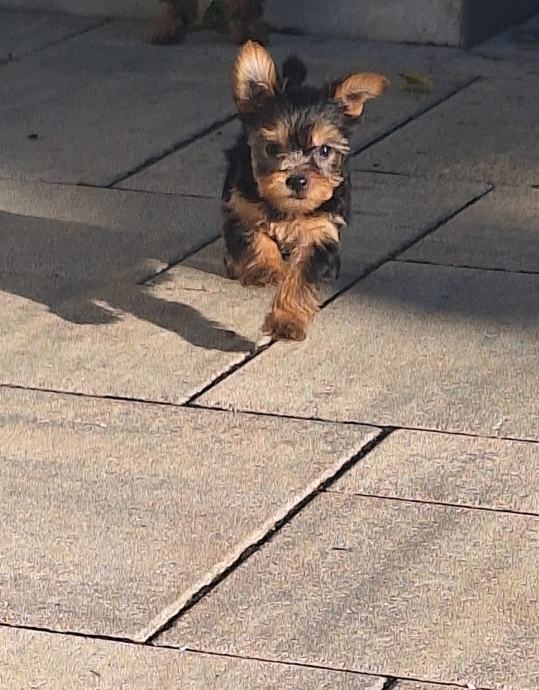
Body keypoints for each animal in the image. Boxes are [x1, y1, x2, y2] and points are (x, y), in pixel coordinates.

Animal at [222, 41, 388, 341]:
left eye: (324, 151)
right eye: (272, 148)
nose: (298, 180)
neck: (287, 209)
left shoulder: (320, 233)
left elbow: (300, 279)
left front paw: (286, 320)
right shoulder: (241, 208)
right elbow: (254, 237)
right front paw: (266, 268)